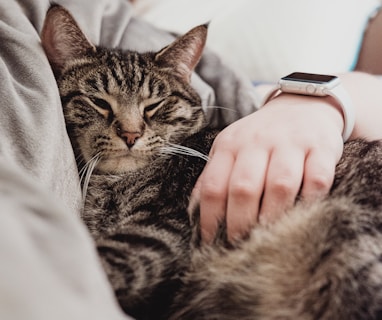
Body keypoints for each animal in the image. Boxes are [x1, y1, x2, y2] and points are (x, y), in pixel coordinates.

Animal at [42, 5, 382, 320]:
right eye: (98, 101)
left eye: (155, 105)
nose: (130, 134)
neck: (111, 185)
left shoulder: (159, 231)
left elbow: (96, 263)